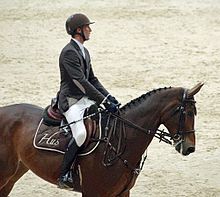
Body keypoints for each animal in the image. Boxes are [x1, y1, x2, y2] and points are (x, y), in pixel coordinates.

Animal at [0, 82, 204, 196]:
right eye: (187, 112)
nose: (189, 148)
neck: (120, 141)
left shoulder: (122, 193)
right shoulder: (93, 192)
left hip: (15, 173)